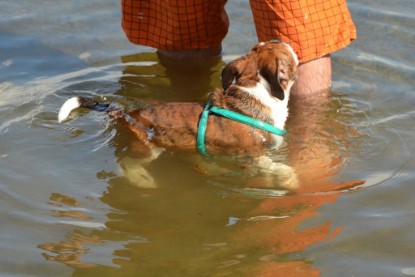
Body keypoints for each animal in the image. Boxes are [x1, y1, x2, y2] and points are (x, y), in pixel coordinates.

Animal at [58, 40, 300, 188]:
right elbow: (276, 167)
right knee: (128, 163)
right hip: (148, 147)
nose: (281, 37)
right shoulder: (253, 154)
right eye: (287, 53)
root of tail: (129, 113)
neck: (256, 91)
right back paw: (143, 180)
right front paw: (290, 177)